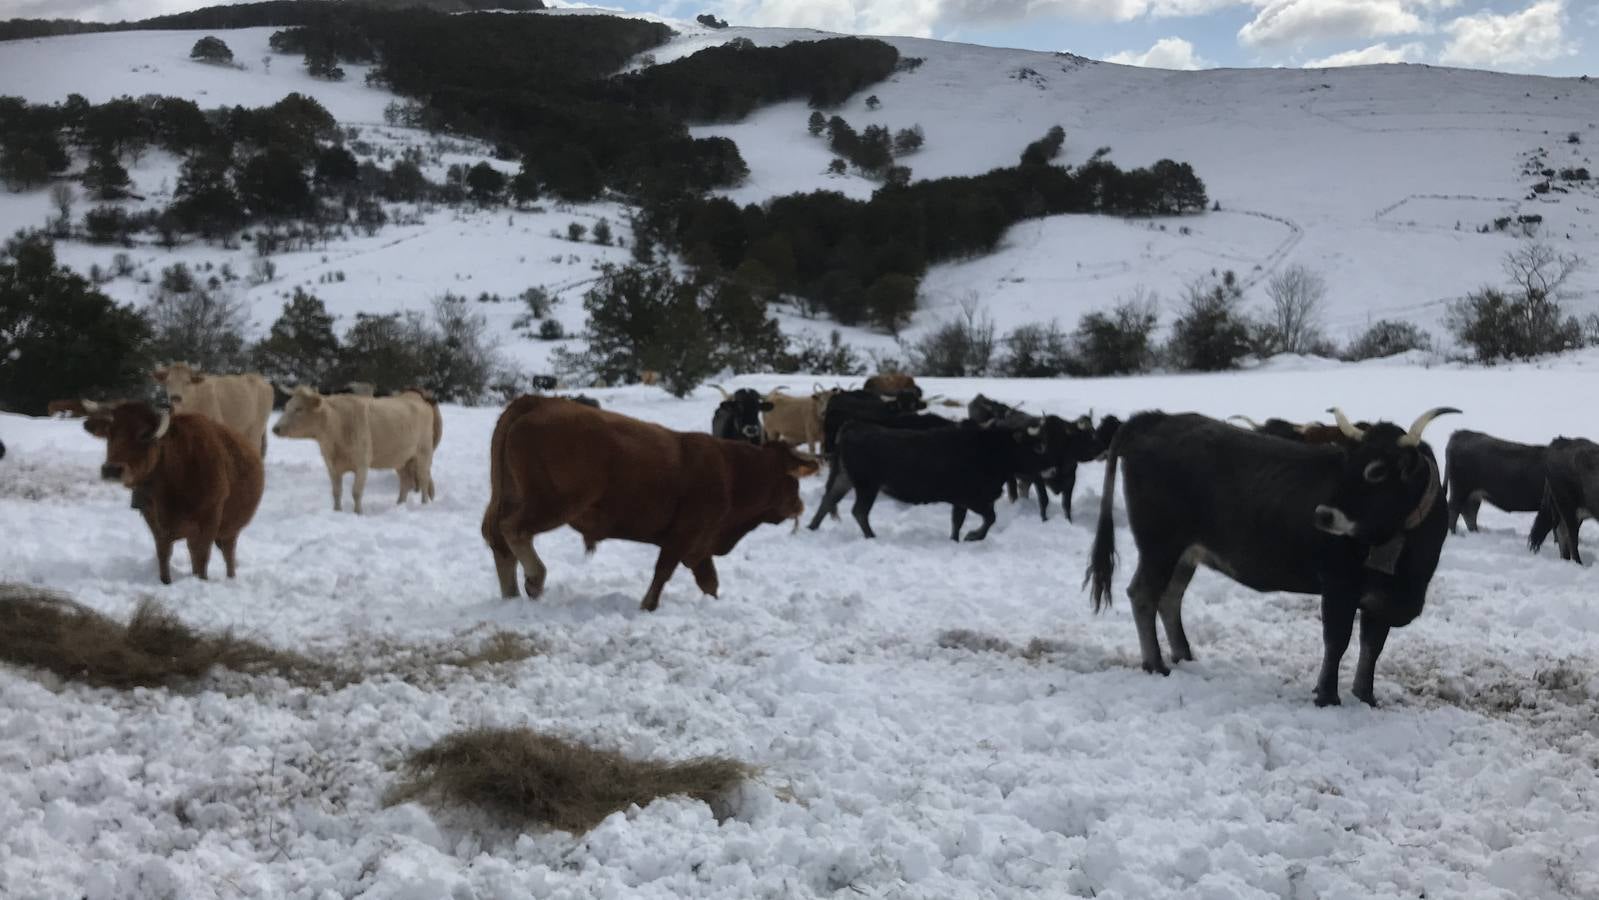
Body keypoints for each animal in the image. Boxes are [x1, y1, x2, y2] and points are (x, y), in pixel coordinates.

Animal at [86, 401, 265, 585]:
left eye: (143, 434)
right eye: (109, 433)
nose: (111, 469)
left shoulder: (209, 519)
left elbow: (201, 558)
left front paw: (200, 580)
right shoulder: (156, 524)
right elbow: (164, 555)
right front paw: (166, 581)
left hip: (230, 531)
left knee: (228, 554)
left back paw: (230, 578)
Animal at [271, 385, 438, 514]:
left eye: (299, 409)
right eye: (286, 407)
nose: (275, 428)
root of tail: (418, 399)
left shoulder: (362, 463)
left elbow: (356, 492)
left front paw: (358, 513)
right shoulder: (332, 466)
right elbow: (336, 492)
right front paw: (337, 511)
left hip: (424, 452)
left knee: (423, 479)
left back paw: (424, 504)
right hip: (401, 458)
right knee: (406, 482)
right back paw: (399, 504)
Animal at [479, 396, 818, 613]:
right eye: (793, 481)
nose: (799, 505)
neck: (733, 471)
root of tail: (538, 401)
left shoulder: (700, 546)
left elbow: (709, 582)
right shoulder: (685, 536)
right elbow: (663, 571)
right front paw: (648, 605)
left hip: (510, 496)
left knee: (498, 540)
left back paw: (510, 595)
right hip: (554, 503)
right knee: (513, 529)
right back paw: (535, 579)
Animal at [812, 418, 1048, 543]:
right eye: (1035, 447)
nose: (1047, 467)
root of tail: (853, 427)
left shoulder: (960, 501)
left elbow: (957, 522)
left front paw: (957, 539)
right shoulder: (972, 498)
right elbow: (990, 518)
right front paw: (973, 536)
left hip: (845, 479)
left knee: (828, 500)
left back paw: (811, 528)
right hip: (867, 485)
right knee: (859, 511)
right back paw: (872, 536)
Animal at [1087, 404, 1464, 706]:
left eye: (1377, 471)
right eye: (1347, 464)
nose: (1323, 515)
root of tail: (1156, 418)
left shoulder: (1381, 600)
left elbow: (1372, 647)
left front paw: (1365, 696)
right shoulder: (1338, 586)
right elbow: (1337, 642)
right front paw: (1327, 696)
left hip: (1185, 553)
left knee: (1169, 598)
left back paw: (1184, 655)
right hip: (1160, 545)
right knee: (1143, 595)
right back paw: (1156, 664)